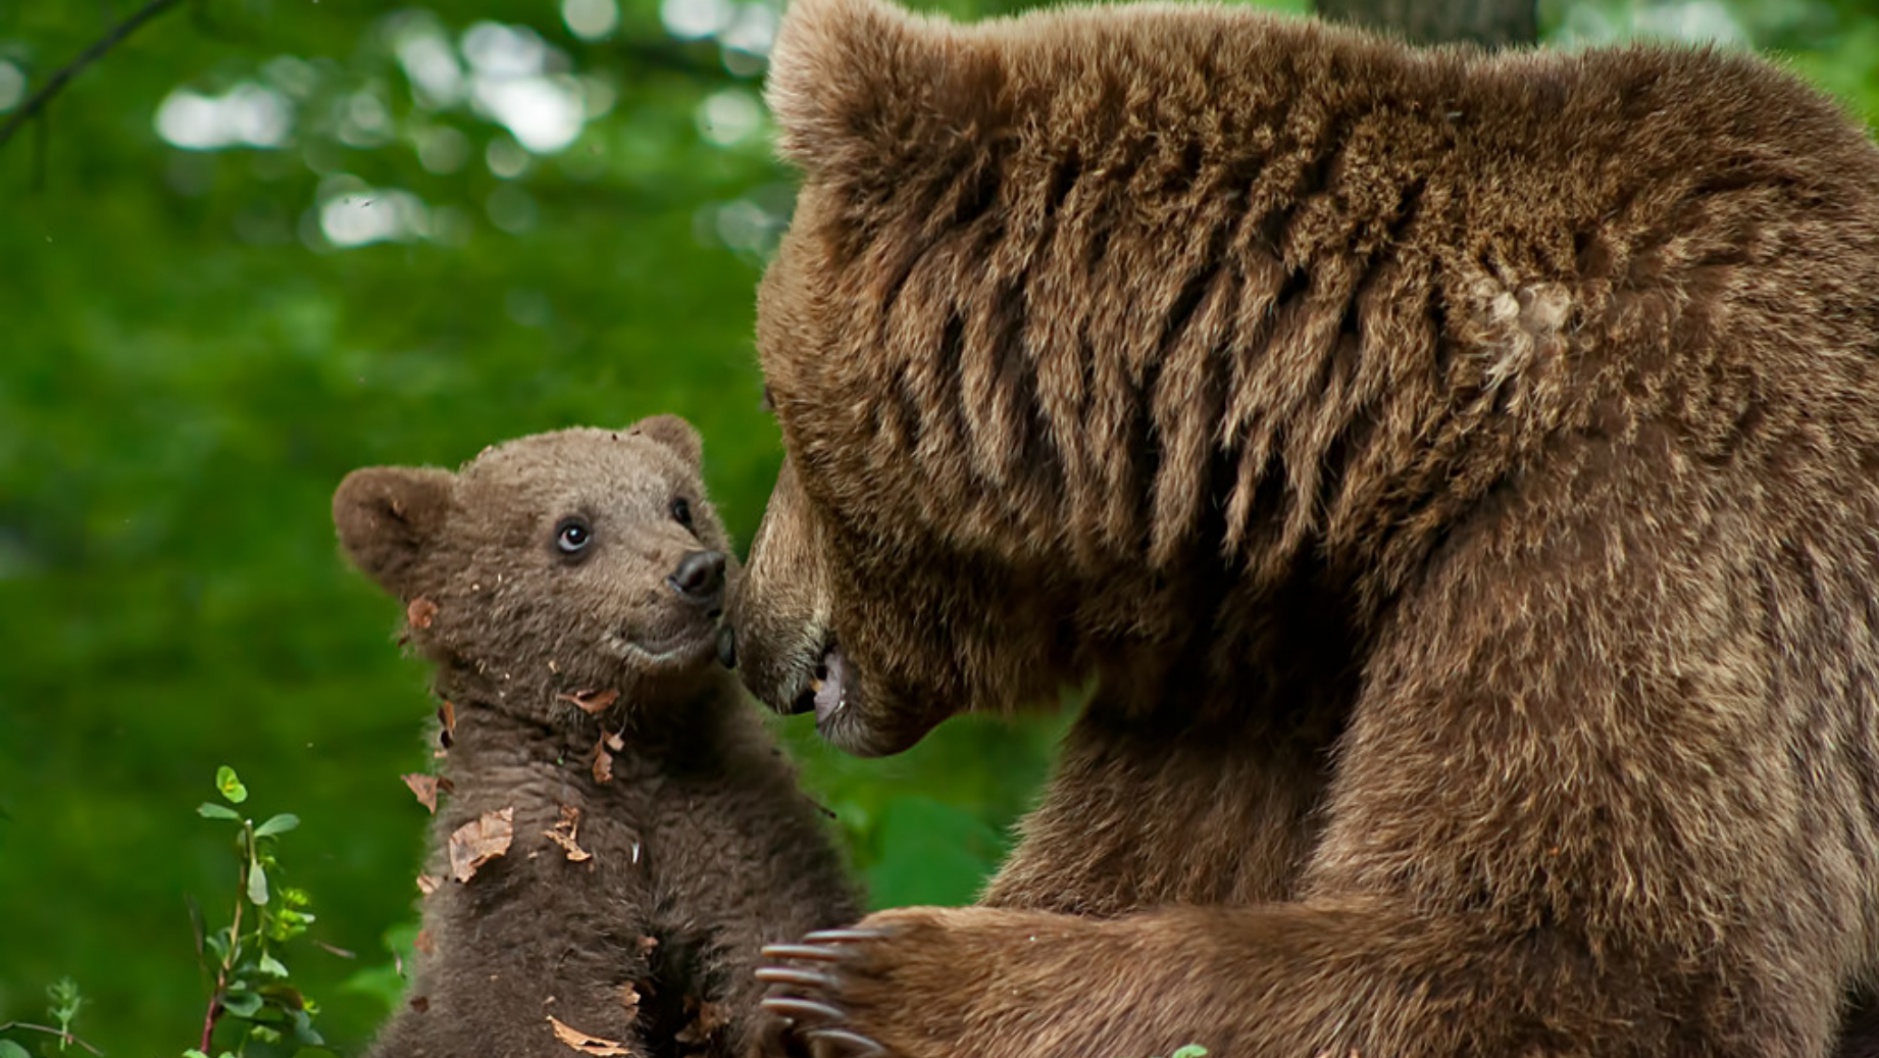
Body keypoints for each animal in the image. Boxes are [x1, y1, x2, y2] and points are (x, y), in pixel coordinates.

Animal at [725, 2, 1879, 1058]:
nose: (744, 626)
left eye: (772, 404)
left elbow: (1596, 962)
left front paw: (871, 975)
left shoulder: (1644, 519)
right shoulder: (1264, 673)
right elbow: (1133, 858)